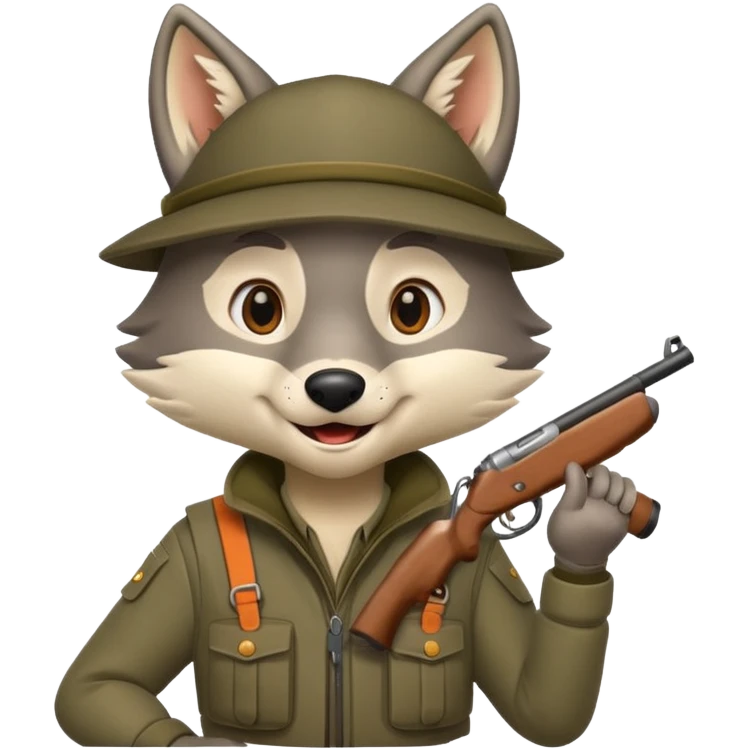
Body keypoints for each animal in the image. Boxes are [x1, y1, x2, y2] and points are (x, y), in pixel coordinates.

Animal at [56, 3, 644, 747]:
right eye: (260, 307)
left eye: (410, 306)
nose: (334, 388)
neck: (334, 499)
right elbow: (93, 685)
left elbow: (539, 705)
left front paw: (595, 518)